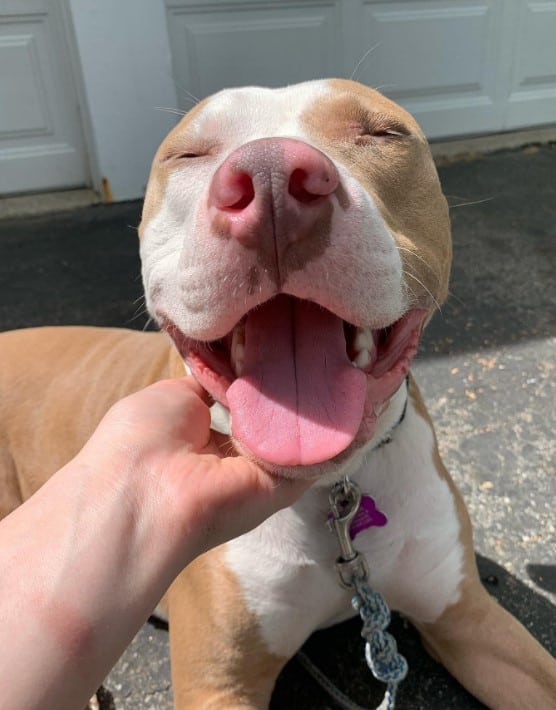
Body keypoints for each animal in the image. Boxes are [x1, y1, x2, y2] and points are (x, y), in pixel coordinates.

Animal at [1, 80, 556, 708]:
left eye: (382, 132)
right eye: (186, 154)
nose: (269, 178)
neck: (332, 489)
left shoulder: (469, 618)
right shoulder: (219, 683)